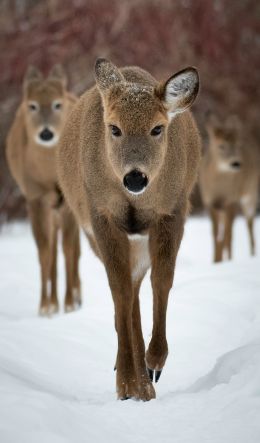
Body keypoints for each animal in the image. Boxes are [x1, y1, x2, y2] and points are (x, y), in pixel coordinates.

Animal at [6, 64, 81, 318]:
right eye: (33, 106)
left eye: (58, 104)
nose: (46, 133)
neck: (49, 175)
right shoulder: (34, 197)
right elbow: (45, 251)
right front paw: (45, 306)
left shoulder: (68, 200)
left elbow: (69, 249)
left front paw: (70, 304)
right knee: (53, 251)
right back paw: (54, 301)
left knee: (74, 249)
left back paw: (76, 295)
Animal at [57, 58, 200, 402]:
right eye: (114, 128)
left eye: (157, 128)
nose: (135, 177)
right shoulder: (101, 214)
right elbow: (119, 289)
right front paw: (124, 382)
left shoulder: (173, 209)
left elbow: (162, 280)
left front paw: (155, 360)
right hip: (94, 234)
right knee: (127, 291)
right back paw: (138, 384)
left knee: (137, 286)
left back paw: (146, 381)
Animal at [199, 112, 258, 264]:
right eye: (221, 146)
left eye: (237, 146)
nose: (236, 163)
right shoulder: (210, 203)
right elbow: (215, 235)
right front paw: (215, 261)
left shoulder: (231, 200)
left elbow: (228, 235)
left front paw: (227, 260)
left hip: (250, 194)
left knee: (249, 223)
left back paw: (251, 254)